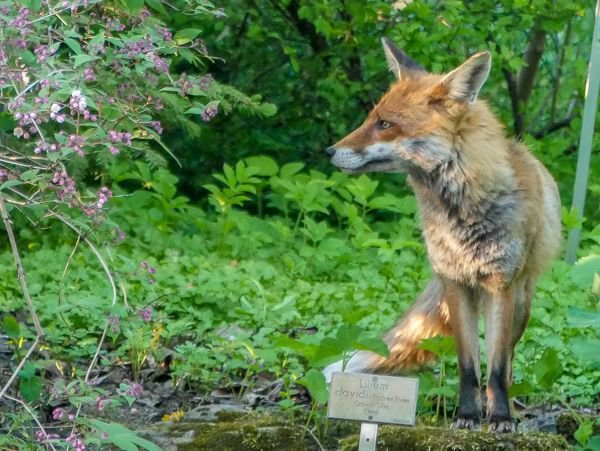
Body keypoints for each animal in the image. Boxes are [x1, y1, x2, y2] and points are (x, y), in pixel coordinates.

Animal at [326, 39, 560, 434]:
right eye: (371, 119)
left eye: (385, 124)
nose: (328, 152)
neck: (462, 216)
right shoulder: (455, 282)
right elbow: (468, 366)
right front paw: (466, 415)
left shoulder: (501, 284)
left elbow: (496, 368)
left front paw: (499, 417)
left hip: (521, 303)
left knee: (508, 359)